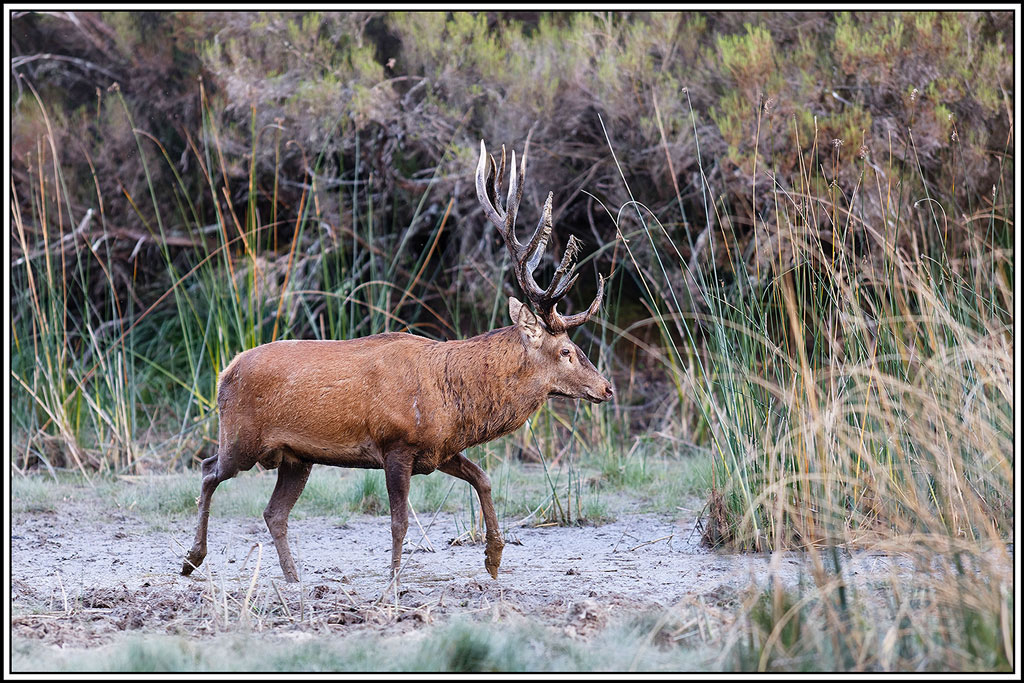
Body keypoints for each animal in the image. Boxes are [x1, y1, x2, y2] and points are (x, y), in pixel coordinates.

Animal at [180, 139, 613, 585]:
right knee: (208, 469)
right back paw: (192, 559)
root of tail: (225, 370)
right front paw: (392, 581)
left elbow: (483, 478)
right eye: (566, 351)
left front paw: (493, 558)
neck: (453, 397)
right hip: (241, 437)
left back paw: (293, 578)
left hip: (295, 457)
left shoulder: (438, 450)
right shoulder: (395, 444)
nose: (606, 387)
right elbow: (399, 521)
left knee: (273, 511)